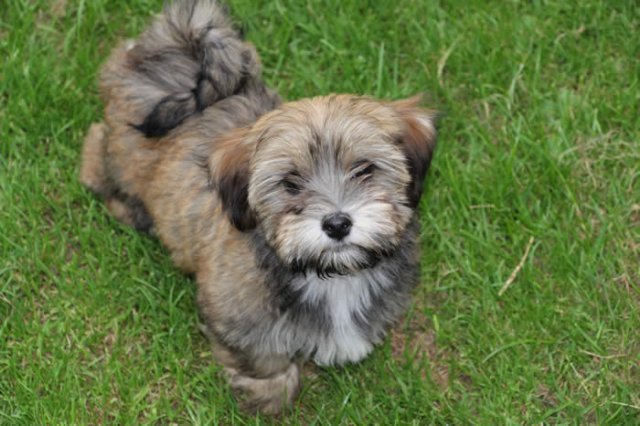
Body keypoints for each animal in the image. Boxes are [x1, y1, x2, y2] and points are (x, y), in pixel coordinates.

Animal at [80, 0, 438, 414]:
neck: (331, 276)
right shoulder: (237, 313)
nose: (337, 223)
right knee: (96, 154)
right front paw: (269, 397)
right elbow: (264, 358)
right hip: (120, 158)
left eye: (364, 169)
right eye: (290, 183)